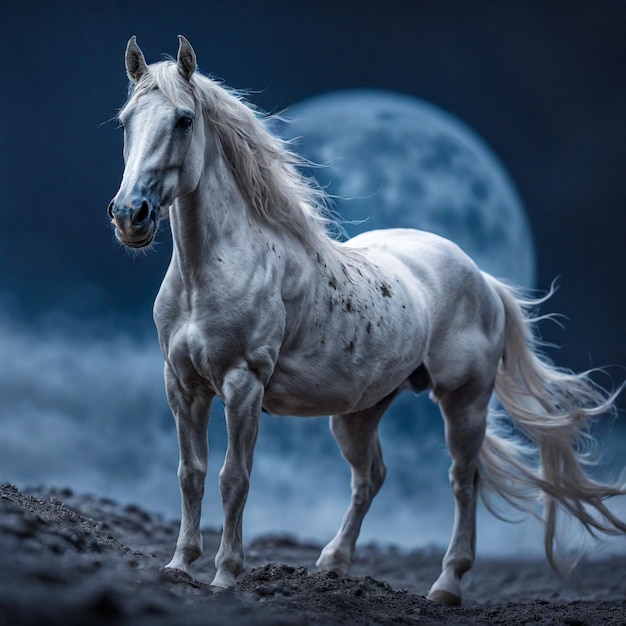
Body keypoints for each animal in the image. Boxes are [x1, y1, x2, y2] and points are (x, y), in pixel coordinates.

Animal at [108, 36, 624, 604]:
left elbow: (233, 478)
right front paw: (179, 564)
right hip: (359, 413)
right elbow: (191, 473)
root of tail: (483, 278)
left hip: (463, 402)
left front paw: (225, 574)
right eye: (125, 122)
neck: (210, 273)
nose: (130, 215)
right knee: (371, 477)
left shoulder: (243, 385)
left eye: (183, 120)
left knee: (462, 480)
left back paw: (446, 584)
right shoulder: (182, 385)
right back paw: (333, 564)